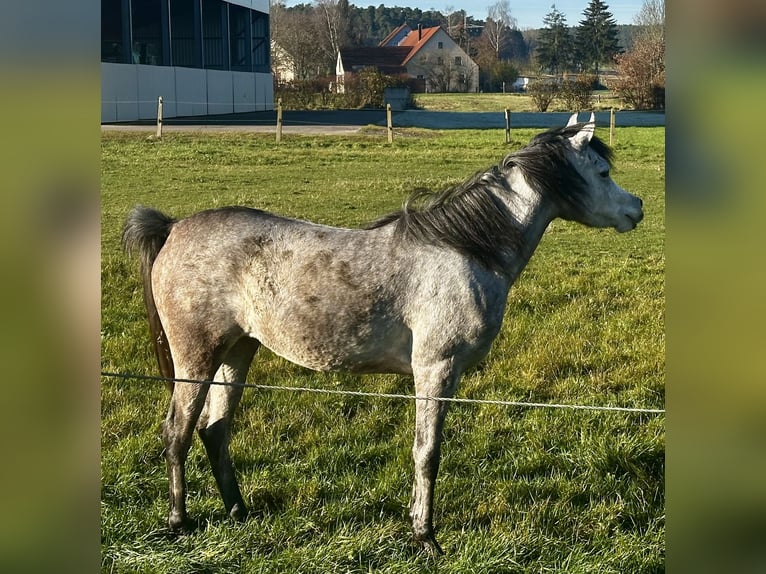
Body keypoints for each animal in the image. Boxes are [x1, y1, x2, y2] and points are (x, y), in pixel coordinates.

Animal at [124, 110, 640, 556]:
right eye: (601, 172)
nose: (637, 208)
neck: (466, 250)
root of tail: (172, 228)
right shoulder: (436, 369)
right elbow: (427, 453)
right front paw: (425, 537)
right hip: (197, 357)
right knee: (177, 432)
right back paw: (179, 521)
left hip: (238, 351)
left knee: (215, 431)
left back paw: (238, 512)